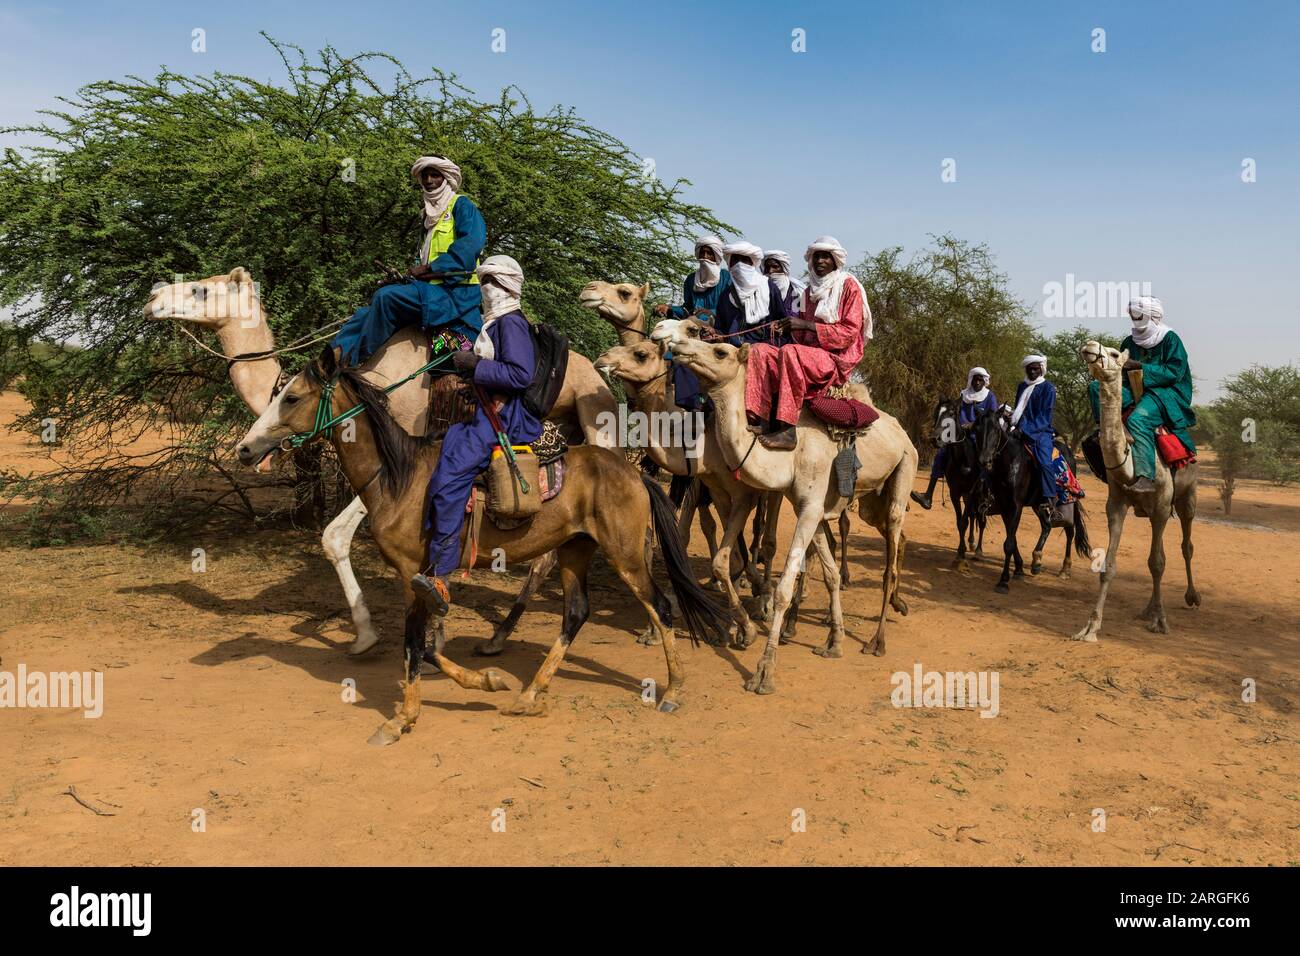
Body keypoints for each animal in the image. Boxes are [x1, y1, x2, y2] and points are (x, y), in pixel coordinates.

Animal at [144, 269, 621, 658]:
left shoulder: (394, 452)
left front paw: (368, 634)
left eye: (201, 289)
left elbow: (335, 537)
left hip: (598, 421)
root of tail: (593, 372)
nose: (152, 296)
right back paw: (498, 637)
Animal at [233, 345, 733, 749]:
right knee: (575, 614)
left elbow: (416, 646)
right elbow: (425, 646)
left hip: (624, 554)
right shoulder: (419, 578)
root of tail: (633, 473)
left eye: (291, 397)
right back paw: (529, 694)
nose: (244, 449)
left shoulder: (415, 573)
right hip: (575, 550)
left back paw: (672, 691)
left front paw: (403, 719)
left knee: (661, 607)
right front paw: (485, 683)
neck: (398, 478)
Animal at [670, 332, 915, 691]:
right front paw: (834, 643)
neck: (790, 454)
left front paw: (763, 672)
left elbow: (785, 587)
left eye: (720, 351)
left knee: (890, 559)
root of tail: (902, 431)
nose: (679, 346)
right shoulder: (808, 506)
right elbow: (829, 573)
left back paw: (877, 640)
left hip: (905, 467)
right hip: (871, 500)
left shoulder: (810, 508)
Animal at [972, 408, 1092, 590]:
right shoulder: (1005, 507)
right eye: (977, 428)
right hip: (1037, 504)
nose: (984, 460)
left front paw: (1004, 580)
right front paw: (1019, 569)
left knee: (1069, 530)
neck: (1010, 463)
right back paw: (1036, 560)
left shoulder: (1016, 506)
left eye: (996, 429)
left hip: (1067, 501)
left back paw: (1065, 568)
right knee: (1047, 526)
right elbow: (1012, 539)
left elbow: (1009, 543)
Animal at [1071, 343, 1201, 642]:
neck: (1130, 466)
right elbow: (1109, 566)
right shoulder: (1116, 505)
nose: (1090, 347)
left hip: (1186, 496)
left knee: (1185, 545)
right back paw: (1148, 608)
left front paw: (1161, 621)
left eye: (1115, 354)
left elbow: (1158, 563)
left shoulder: (1163, 506)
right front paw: (1090, 627)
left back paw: (1191, 597)